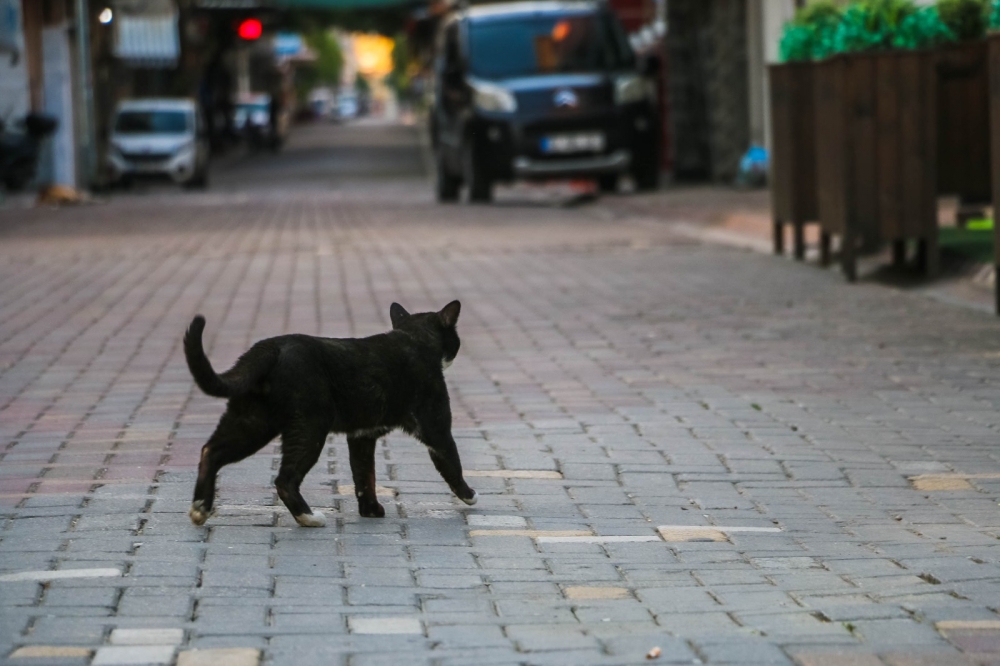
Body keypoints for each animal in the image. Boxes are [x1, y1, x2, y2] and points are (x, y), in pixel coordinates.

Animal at [185, 300, 480, 524]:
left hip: (252, 422)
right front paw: (469, 494)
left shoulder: (362, 437)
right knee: (285, 479)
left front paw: (370, 510)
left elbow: (364, 475)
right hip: (309, 428)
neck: (414, 339)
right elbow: (452, 462)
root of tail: (269, 348)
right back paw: (309, 517)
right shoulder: (436, 426)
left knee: (210, 451)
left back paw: (200, 508)